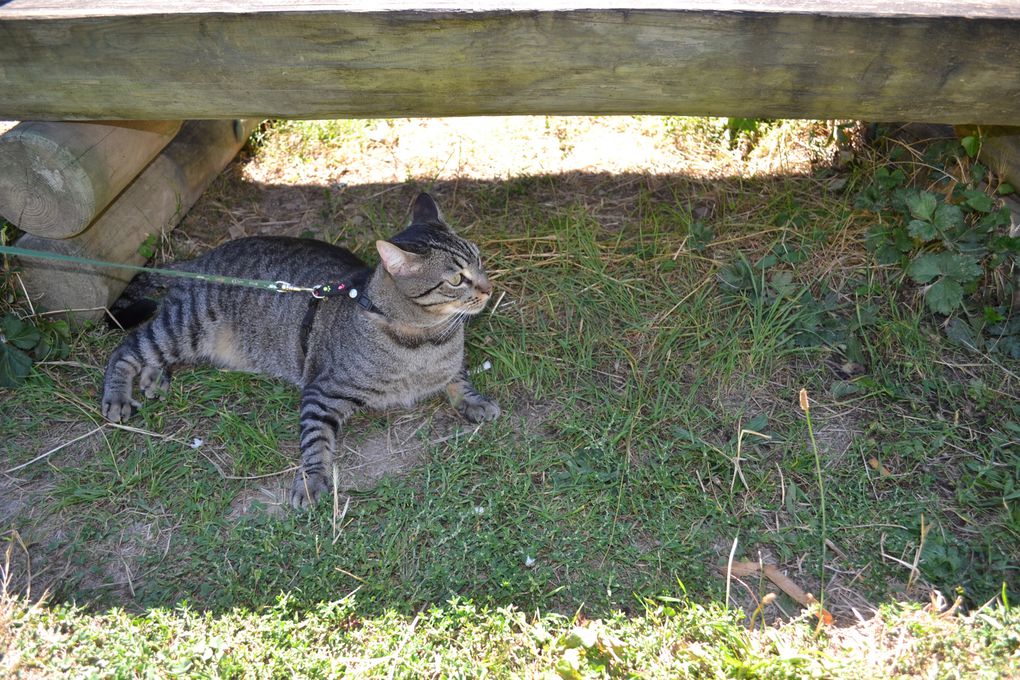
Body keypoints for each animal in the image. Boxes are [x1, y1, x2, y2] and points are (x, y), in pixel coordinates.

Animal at [101, 193, 499, 507]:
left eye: (479, 259)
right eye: (455, 279)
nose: (488, 288)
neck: (427, 339)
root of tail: (203, 259)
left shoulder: (452, 364)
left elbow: (460, 379)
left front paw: (475, 402)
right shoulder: (322, 393)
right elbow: (316, 442)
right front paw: (311, 482)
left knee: (153, 354)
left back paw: (154, 379)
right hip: (185, 327)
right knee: (128, 348)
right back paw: (118, 396)